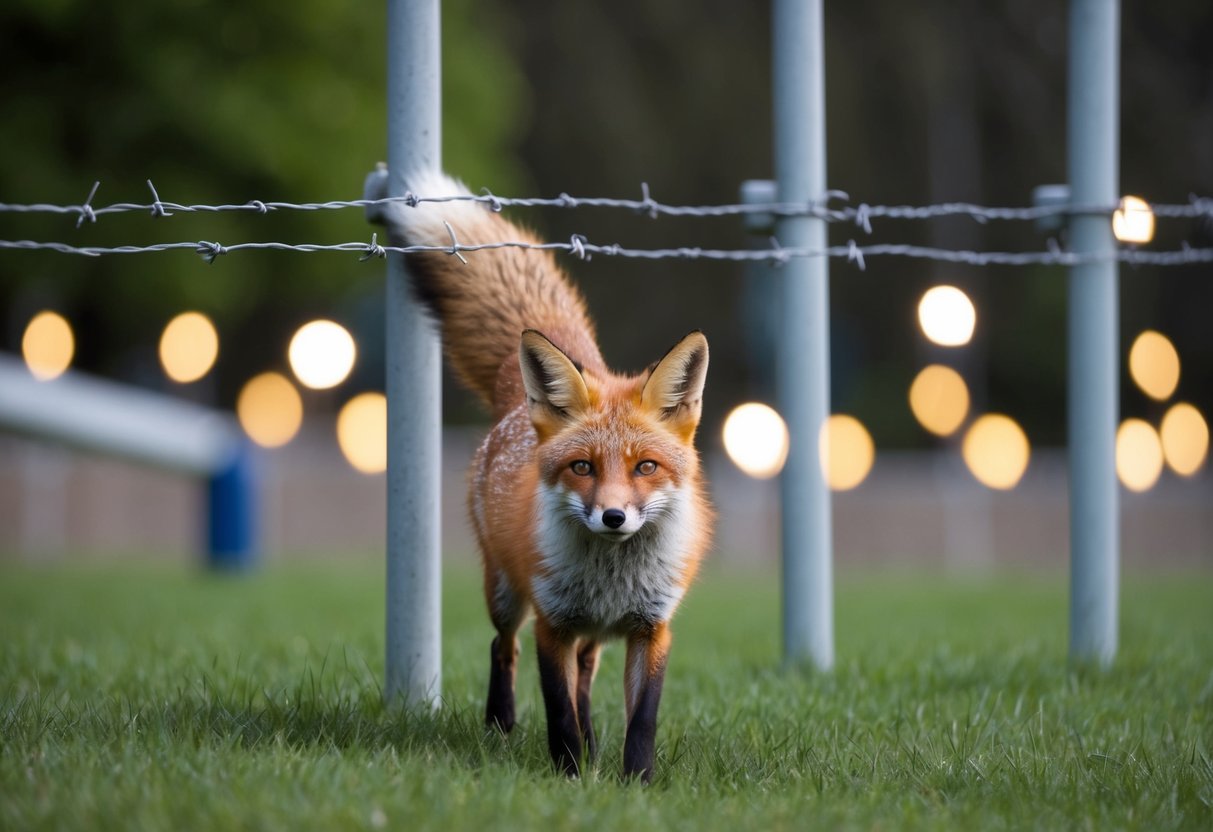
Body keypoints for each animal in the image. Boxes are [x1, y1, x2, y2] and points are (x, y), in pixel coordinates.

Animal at [365, 167, 713, 783]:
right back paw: (501, 723)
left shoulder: (651, 629)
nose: (614, 516)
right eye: (583, 467)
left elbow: (641, 718)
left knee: (586, 676)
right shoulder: (553, 622)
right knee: (503, 648)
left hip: (592, 634)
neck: (610, 581)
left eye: (646, 467)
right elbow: (557, 710)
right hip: (505, 593)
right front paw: (571, 775)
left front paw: (637, 782)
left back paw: (596, 743)